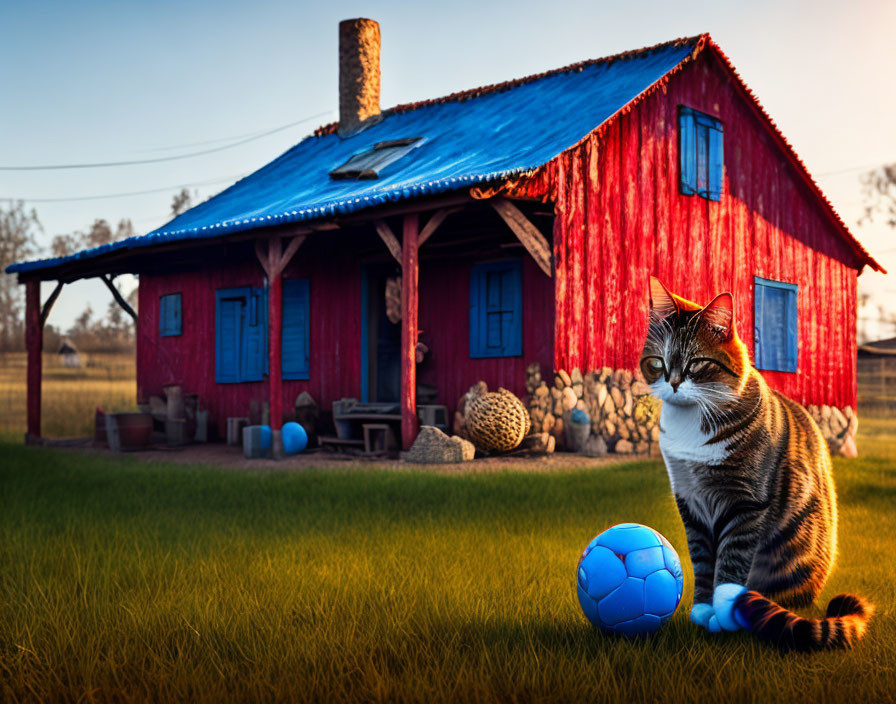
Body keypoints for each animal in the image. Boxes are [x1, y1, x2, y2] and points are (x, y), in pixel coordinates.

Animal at [640, 278, 872, 652]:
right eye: (658, 363)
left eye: (696, 364)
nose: (673, 383)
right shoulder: (689, 503)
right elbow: (703, 561)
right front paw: (702, 609)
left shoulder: (746, 502)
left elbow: (731, 561)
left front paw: (723, 612)